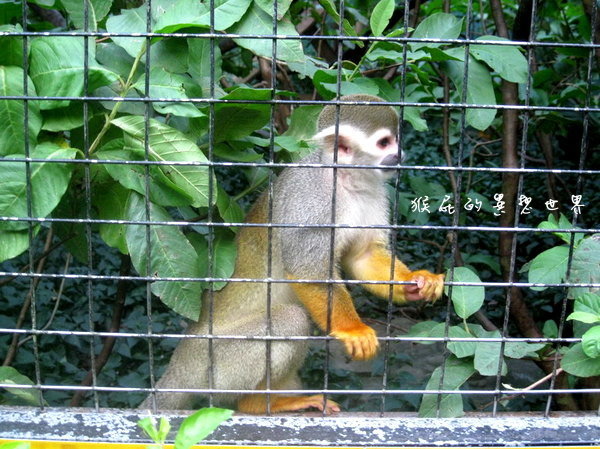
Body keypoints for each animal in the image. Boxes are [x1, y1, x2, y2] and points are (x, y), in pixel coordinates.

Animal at [142, 93, 446, 412]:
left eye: (396, 140)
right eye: (384, 143)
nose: (399, 155)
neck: (345, 180)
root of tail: (181, 364)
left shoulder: (374, 193)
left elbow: (362, 257)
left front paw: (415, 283)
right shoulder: (311, 202)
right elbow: (307, 270)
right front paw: (352, 329)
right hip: (217, 366)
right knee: (291, 319)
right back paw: (256, 405)